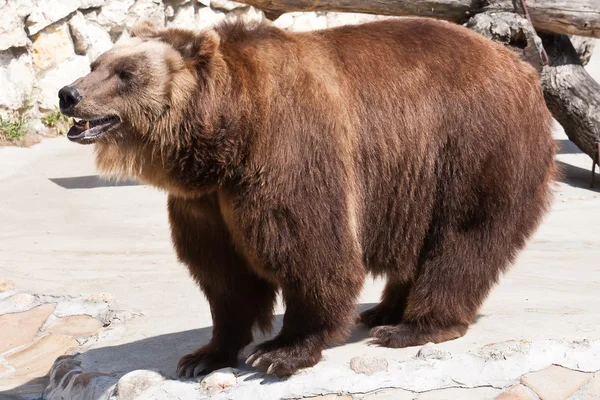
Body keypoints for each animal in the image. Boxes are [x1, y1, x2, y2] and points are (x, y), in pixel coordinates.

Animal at [58, 15, 556, 378]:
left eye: (126, 73)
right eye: (96, 63)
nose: (68, 93)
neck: (226, 137)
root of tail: (523, 69)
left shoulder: (290, 153)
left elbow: (310, 253)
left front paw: (279, 352)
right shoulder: (206, 203)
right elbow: (223, 275)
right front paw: (204, 354)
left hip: (472, 149)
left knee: (462, 239)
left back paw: (412, 326)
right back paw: (382, 311)